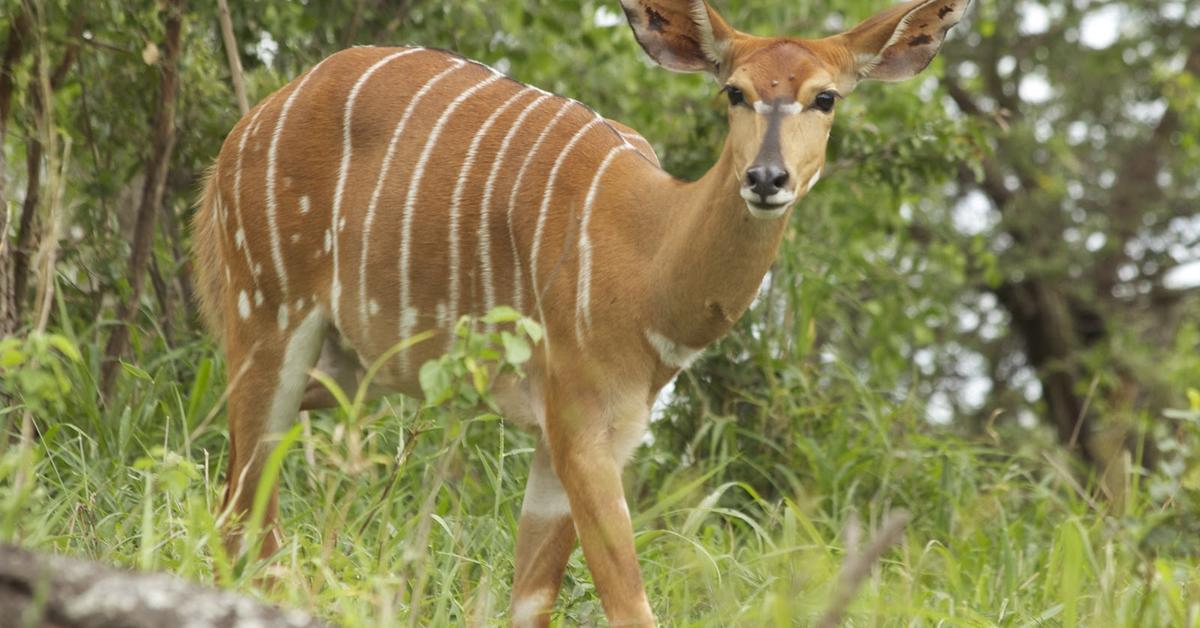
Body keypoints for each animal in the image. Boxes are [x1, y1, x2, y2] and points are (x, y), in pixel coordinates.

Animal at [192, 0, 969, 624]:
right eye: (735, 91)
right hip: (267, 317)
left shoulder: (587, 435)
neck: (647, 253)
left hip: (342, 369)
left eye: (826, 97)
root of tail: (247, 126)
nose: (767, 178)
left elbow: (530, 599)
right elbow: (630, 604)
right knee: (245, 515)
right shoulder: (580, 427)